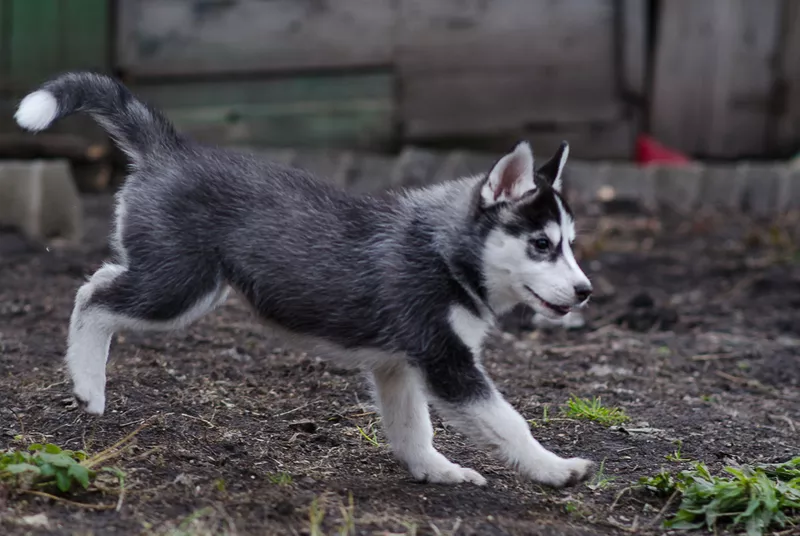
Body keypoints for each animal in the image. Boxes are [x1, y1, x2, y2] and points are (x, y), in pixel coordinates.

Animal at [15, 73, 592, 488]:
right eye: (541, 245)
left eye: (570, 242)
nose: (586, 292)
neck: (444, 253)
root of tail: (174, 150)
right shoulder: (446, 361)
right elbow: (509, 421)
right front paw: (556, 468)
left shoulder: (399, 365)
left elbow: (413, 427)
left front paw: (435, 470)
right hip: (178, 288)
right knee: (91, 295)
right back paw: (88, 385)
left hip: (179, 281)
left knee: (101, 278)